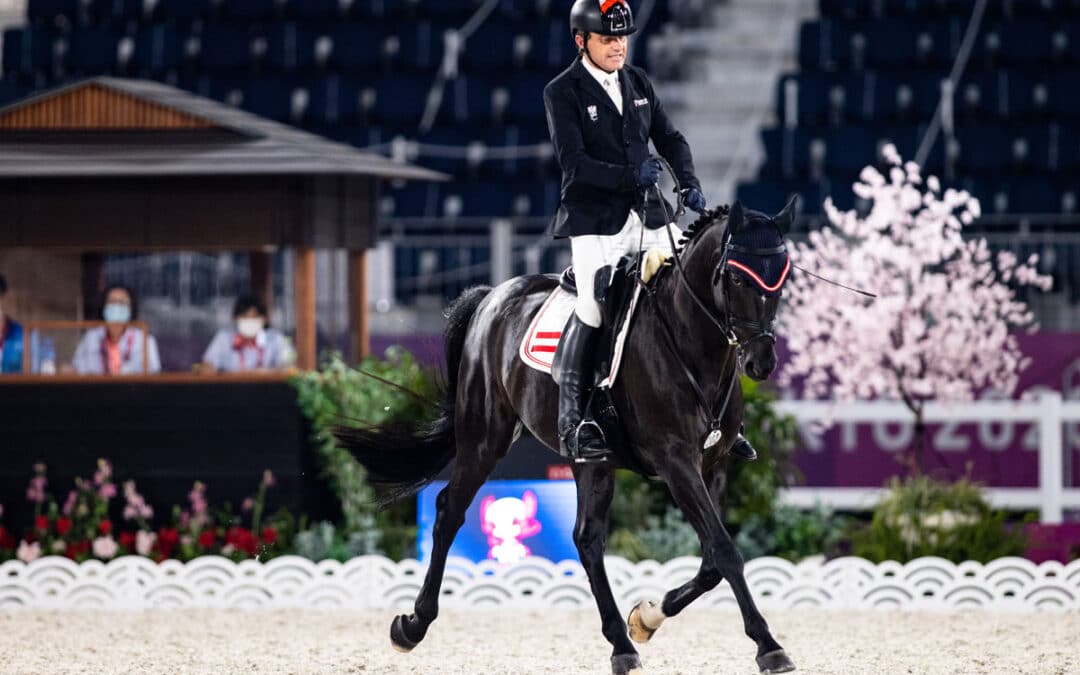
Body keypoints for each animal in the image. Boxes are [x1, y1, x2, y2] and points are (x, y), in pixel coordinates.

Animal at [336, 197, 803, 669]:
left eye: (783, 276)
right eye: (735, 276)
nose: (761, 362)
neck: (690, 344)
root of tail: (493, 296)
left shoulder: (715, 462)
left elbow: (711, 558)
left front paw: (647, 617)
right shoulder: (675, 461)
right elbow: (725, 550)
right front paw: (769, 645)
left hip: (591, 458)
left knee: (587, 538)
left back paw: (622, 644)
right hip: (485, 436)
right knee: (451, 511)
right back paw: (412, 626)